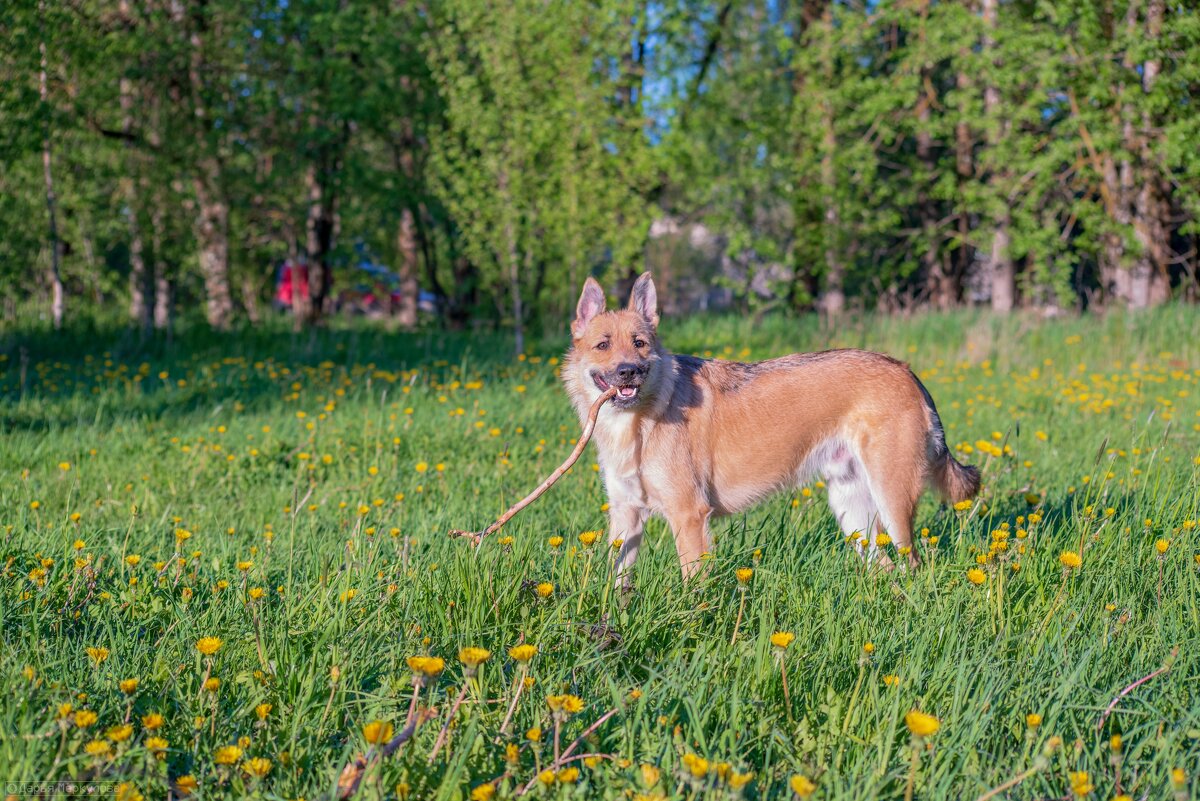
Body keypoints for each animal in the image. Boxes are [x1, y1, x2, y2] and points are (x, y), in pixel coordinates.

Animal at [559, 272, 974, 585]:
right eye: (602, 345)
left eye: (641, 344)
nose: (628, 371)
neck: (636, 424)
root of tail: (905, 370)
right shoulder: (625, 516)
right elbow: (616, 587)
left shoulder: (689, 516)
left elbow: (693, 590)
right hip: (852, 510)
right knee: (883, 566)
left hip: (891, 500)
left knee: (912, 564)